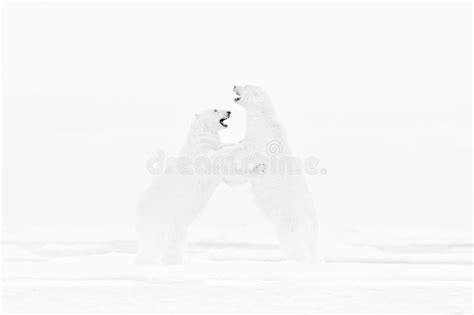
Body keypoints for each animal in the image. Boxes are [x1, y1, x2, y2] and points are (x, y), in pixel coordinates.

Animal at [136, 110, 262, 266]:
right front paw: (242, 142)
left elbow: (231, 176)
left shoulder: (217, 170)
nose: (229, 111)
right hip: (159, 210)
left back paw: (175, 259)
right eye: (215, 109)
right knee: (153, 238)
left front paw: (259, 168)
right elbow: (214, 156)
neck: (201, 136)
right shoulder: (201, 152)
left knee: (175, 234)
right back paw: (148, 260)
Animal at [221, 85, 320, 262]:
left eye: (245, 85)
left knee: (293, 243)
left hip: (288, 219)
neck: (263, 119)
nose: (234, 85)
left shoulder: (261, 139)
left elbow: (247, 151)